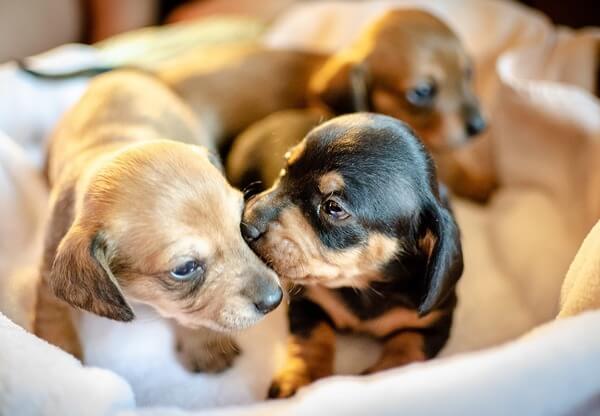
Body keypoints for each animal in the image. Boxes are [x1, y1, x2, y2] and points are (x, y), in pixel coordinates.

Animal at [35, 70, 284, 372]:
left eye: (240, 223)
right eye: (185, 268)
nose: (275, 299)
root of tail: (122, 72)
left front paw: (204, 344)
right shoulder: (47, 275)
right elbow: (53, 321)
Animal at [240, 113, 464, 396]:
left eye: (333, 207)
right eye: (285, 169)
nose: (245, 224)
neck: (365, 286)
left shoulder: (434, 322)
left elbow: (408, 350)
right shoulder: (309, 301)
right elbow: (312, 338)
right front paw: (301, 378)